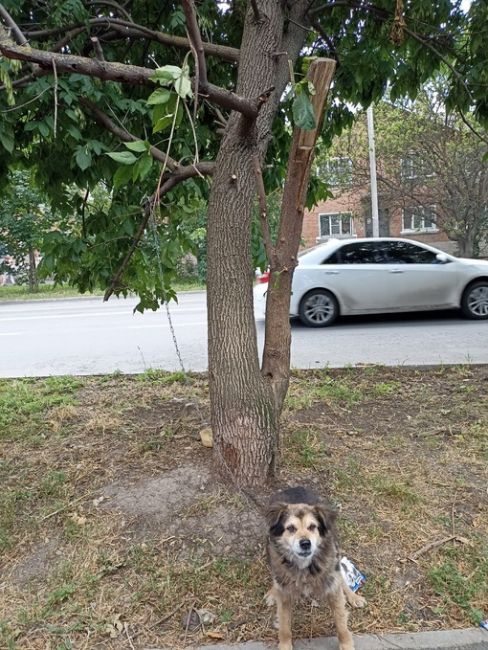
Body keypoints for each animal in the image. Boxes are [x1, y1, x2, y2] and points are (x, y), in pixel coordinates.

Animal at [264, 484, 364, 648]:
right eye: (291, 528)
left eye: (312, 527)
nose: (305, 543)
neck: (304, 565)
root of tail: (295, 487)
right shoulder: (285, 596)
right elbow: (284, 626)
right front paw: (285, 645)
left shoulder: (333, 586)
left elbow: (341, 622)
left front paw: (346, 645)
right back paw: (273, 591)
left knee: (340, 578)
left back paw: (353, 596)